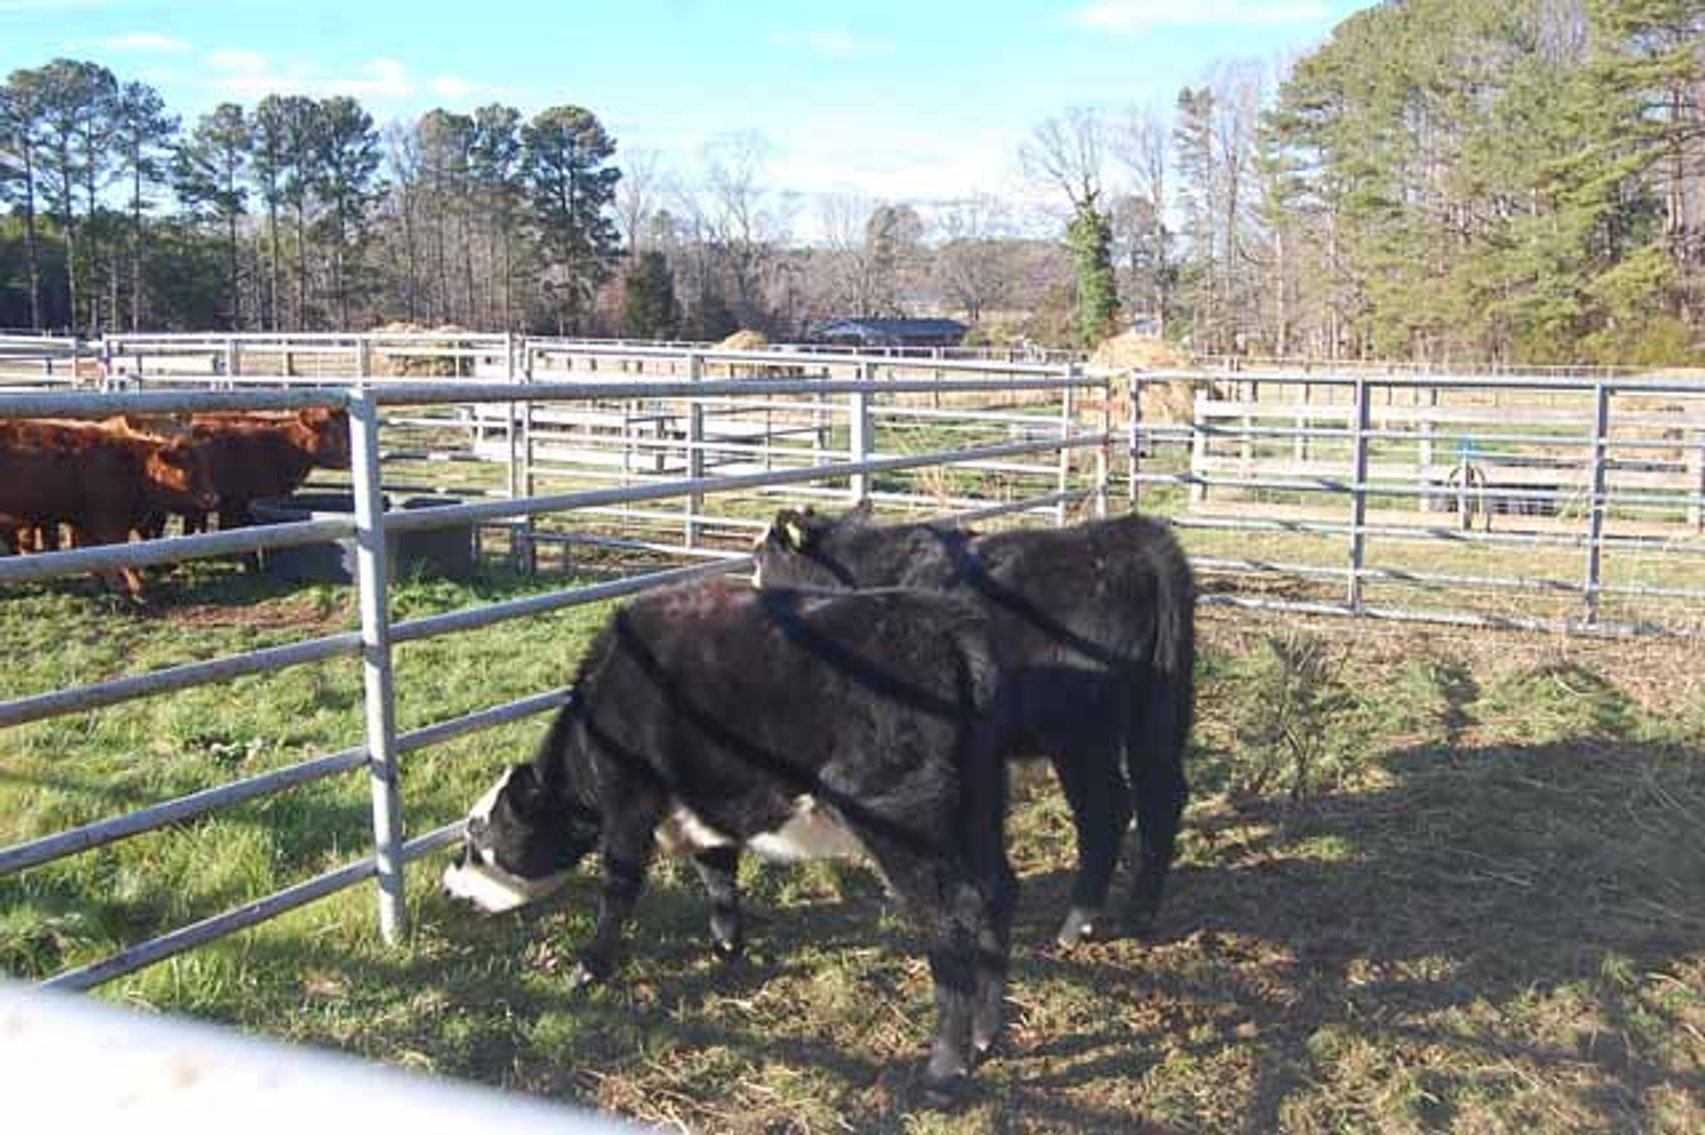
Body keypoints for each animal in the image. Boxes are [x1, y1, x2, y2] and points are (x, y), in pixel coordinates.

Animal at [0, 419, 219, 595]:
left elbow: (95, 554)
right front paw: (132, 587)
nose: (213, 498)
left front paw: (102, 585)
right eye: (187, 469)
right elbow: (120, 555)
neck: (133, 466)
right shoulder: (111, 523)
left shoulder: (85, 523)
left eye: (205, 466)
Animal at [443, 580, 1016, 1099]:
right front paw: (726, 948)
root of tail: (947, 625)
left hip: (900, 824)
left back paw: (943, 1070)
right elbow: (717, 876)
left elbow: (619, 889)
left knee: (950, 922)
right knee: (995, 893)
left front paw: (589, 971)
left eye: (477, 831)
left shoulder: (629, 806)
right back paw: (986, 1034)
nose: (448, 885)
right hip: (981, 812)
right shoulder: (707, 806)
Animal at [753, 504, 1195, 947]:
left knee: (1108, 809)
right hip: (1157, 717)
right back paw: (1137, 916)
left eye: (760, 557)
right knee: (1162, 797)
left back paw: (1077, 921)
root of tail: (1124, 535)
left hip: (1080, 735)